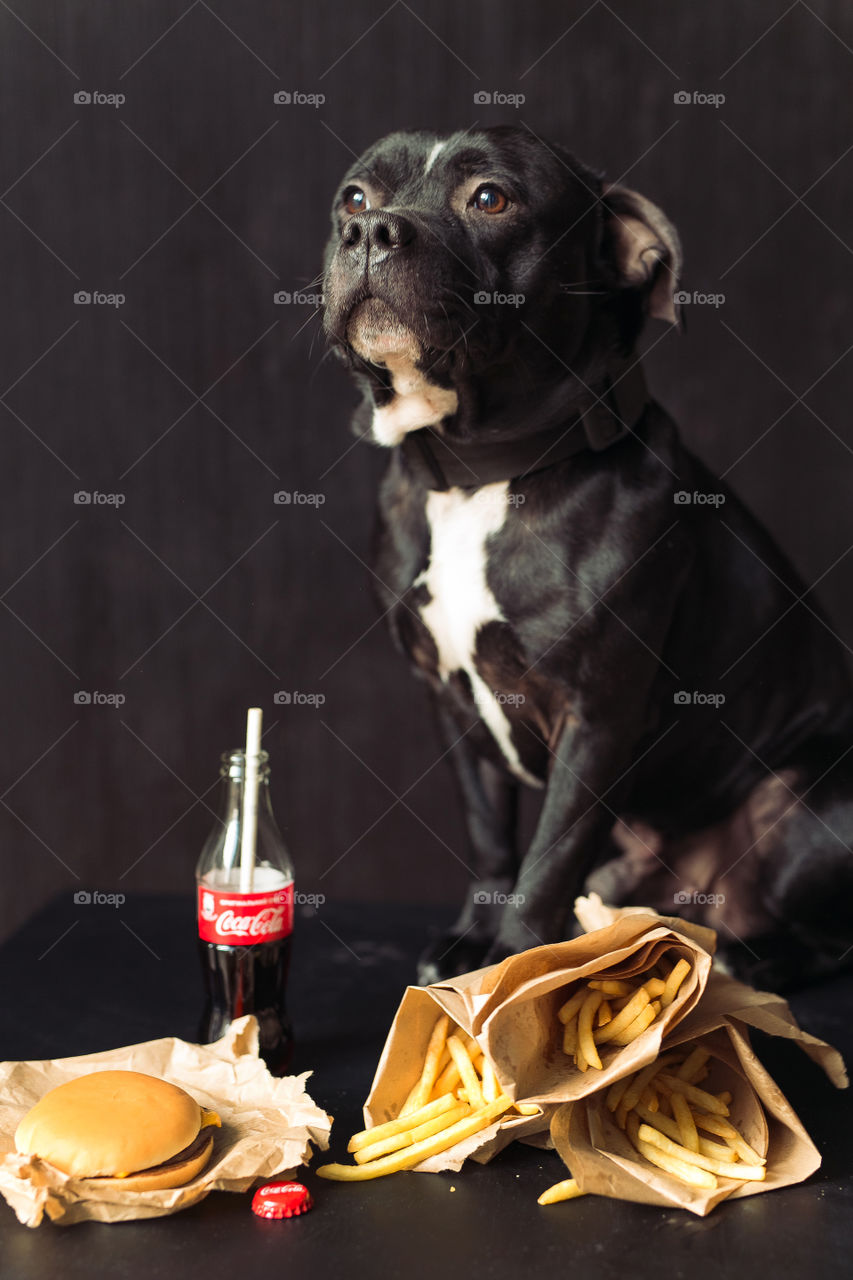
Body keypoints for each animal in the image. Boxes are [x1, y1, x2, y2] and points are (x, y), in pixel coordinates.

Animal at [320, 127, 850, 988]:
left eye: (491, 198)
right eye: (355, 197)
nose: (369, 231)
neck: (482, 474)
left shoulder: (596, 715)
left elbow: (550, 851)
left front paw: (514, 957)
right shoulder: (450, 703)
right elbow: (493, 837)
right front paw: (473, 939)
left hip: (817, 800)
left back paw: (756, 957)